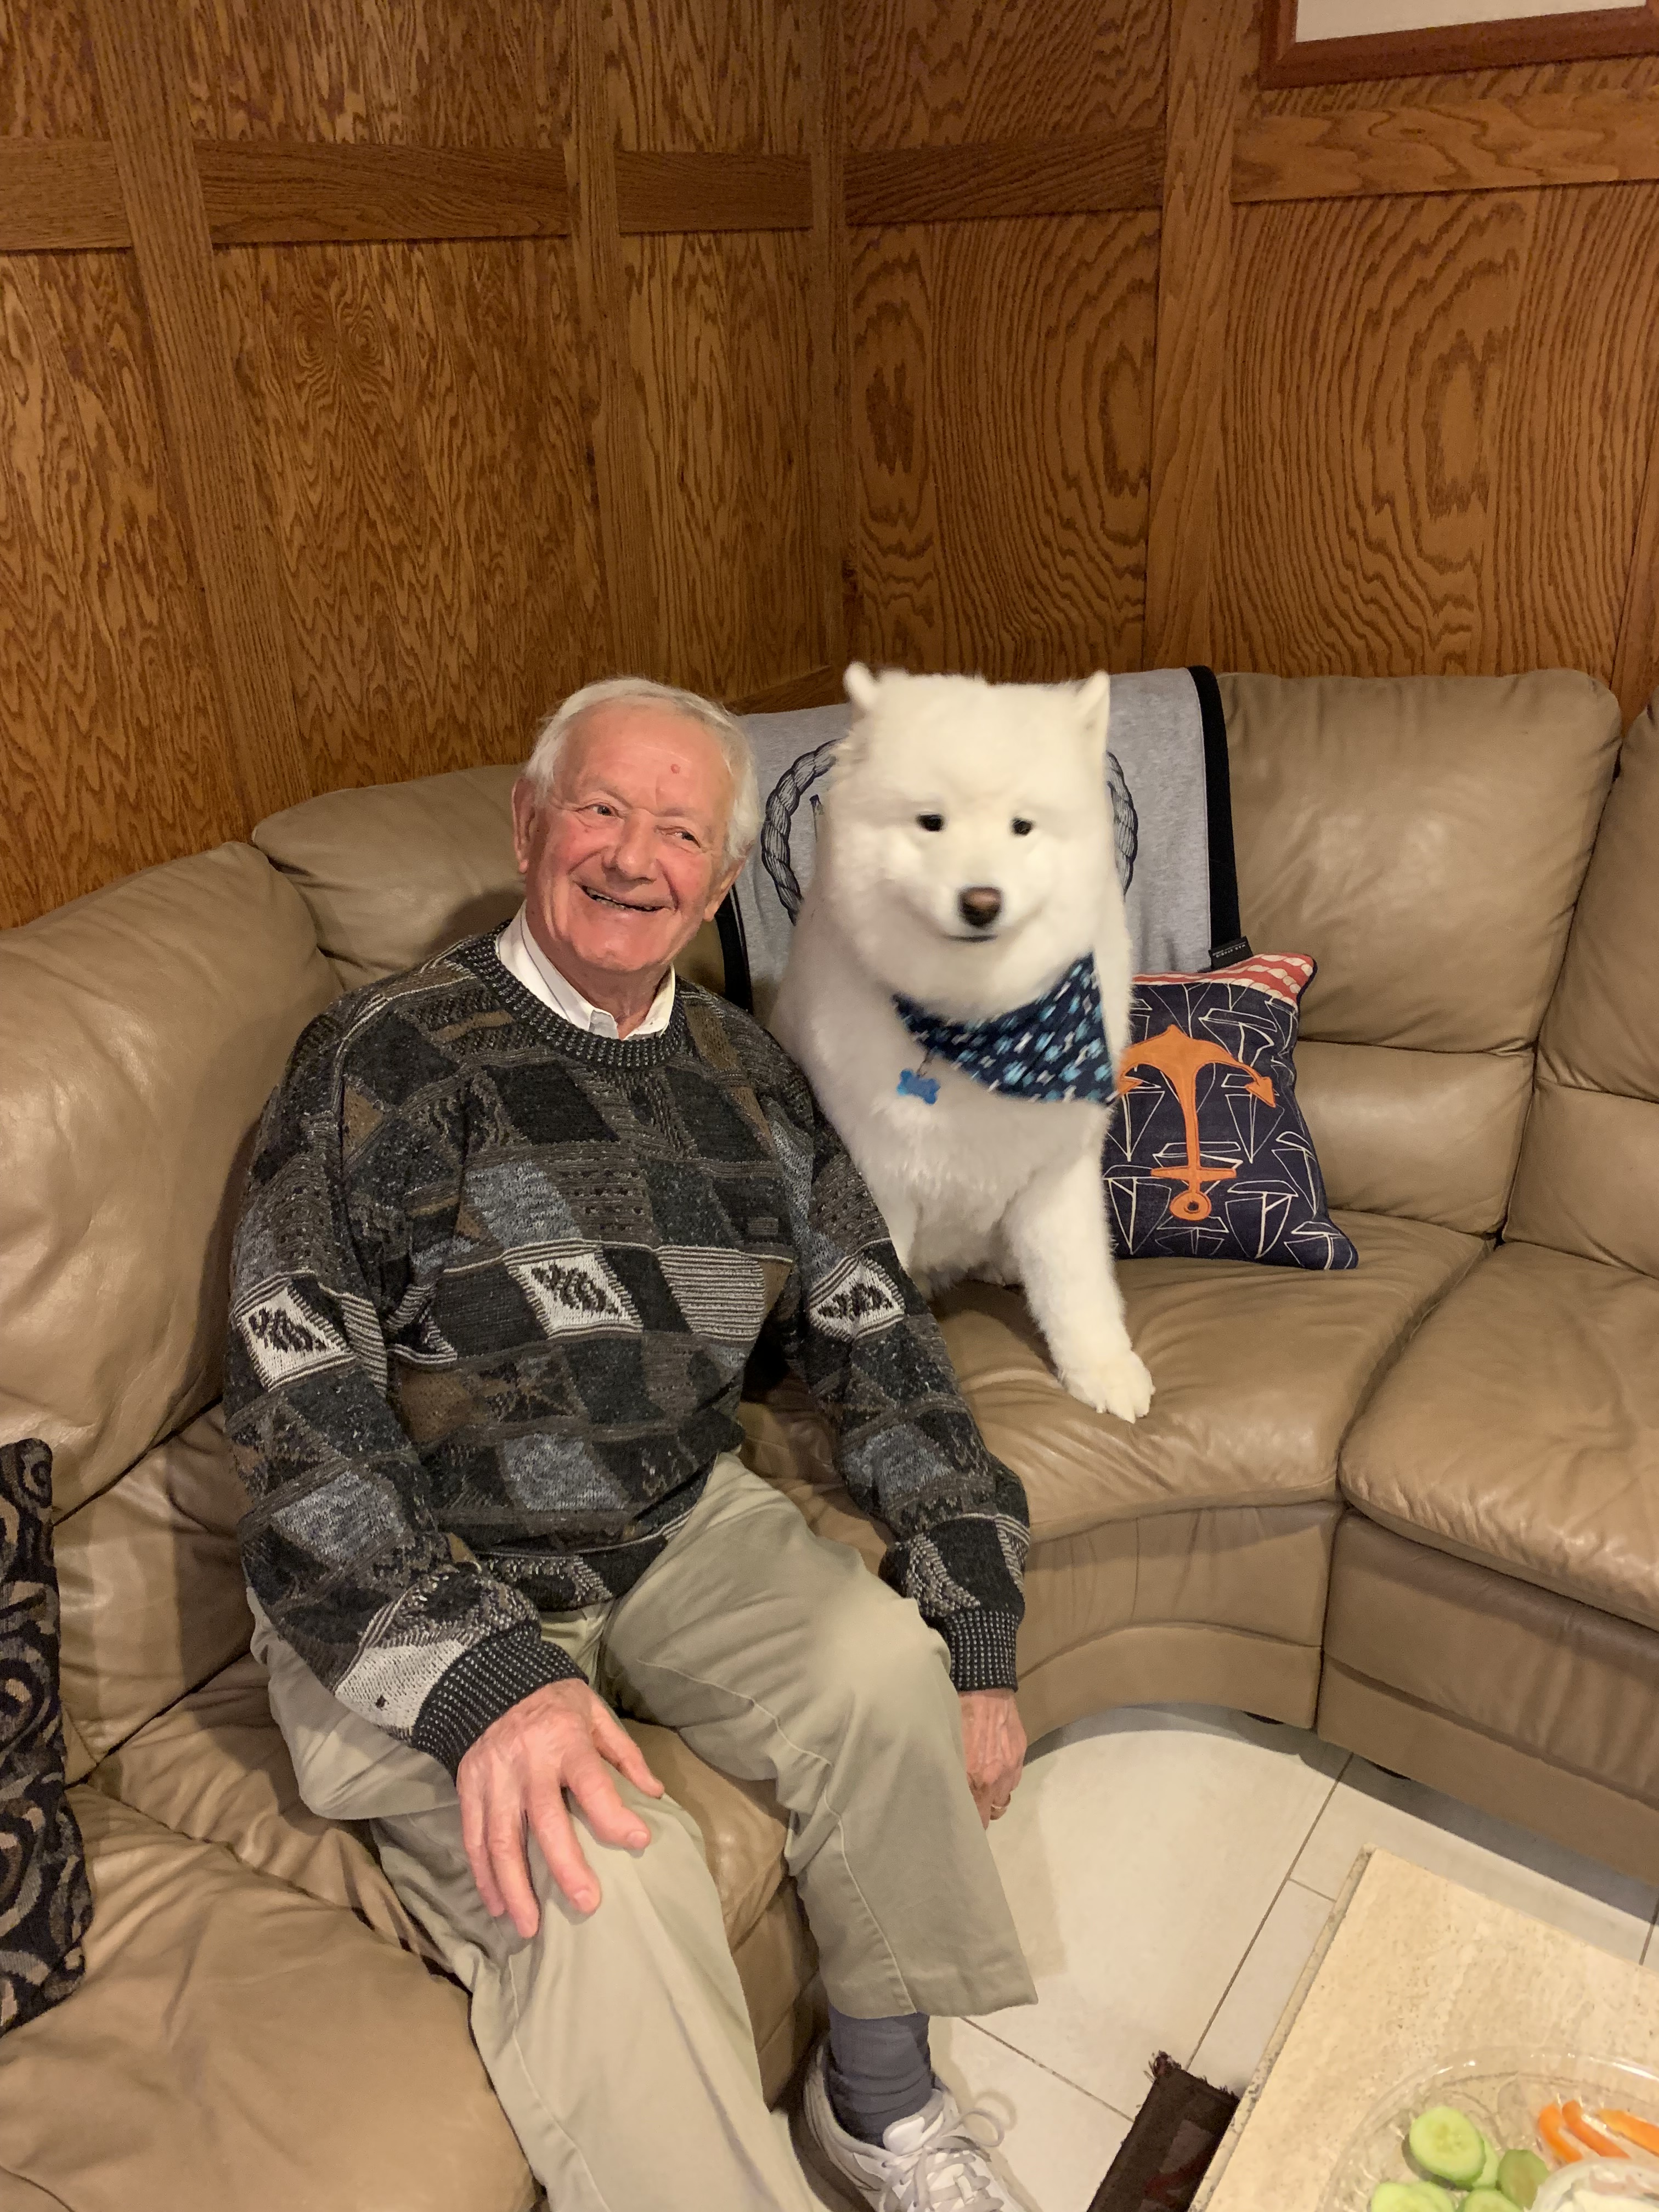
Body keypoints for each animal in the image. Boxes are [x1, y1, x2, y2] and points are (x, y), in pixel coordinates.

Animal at [771, 664, 1154, 1424]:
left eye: (1021, 826)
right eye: (931, 822)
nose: (981, 902)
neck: (986, 1029)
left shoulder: (1056, 1177)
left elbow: (1078, 1286)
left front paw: (1100, 1368)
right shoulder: (878, 1183)